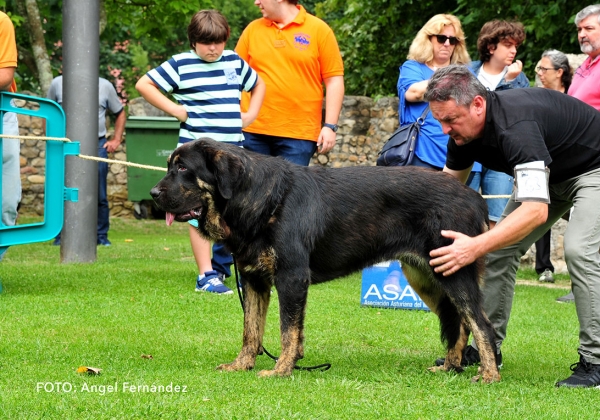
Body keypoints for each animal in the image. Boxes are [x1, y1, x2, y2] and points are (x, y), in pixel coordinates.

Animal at [151, 139, 502, 382]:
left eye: (183, 169)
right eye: (169, 167)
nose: (153, 194)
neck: (258, 199)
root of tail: (475, 198)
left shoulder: (291, 277)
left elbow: (287, 330)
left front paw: (281, 370)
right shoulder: (254, 280)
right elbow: (252, 331)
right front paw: (243, 365)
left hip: (453, 273)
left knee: (481, 324)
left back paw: (489, 374)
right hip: (425, 278)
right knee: (460, 324)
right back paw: (450, 367)